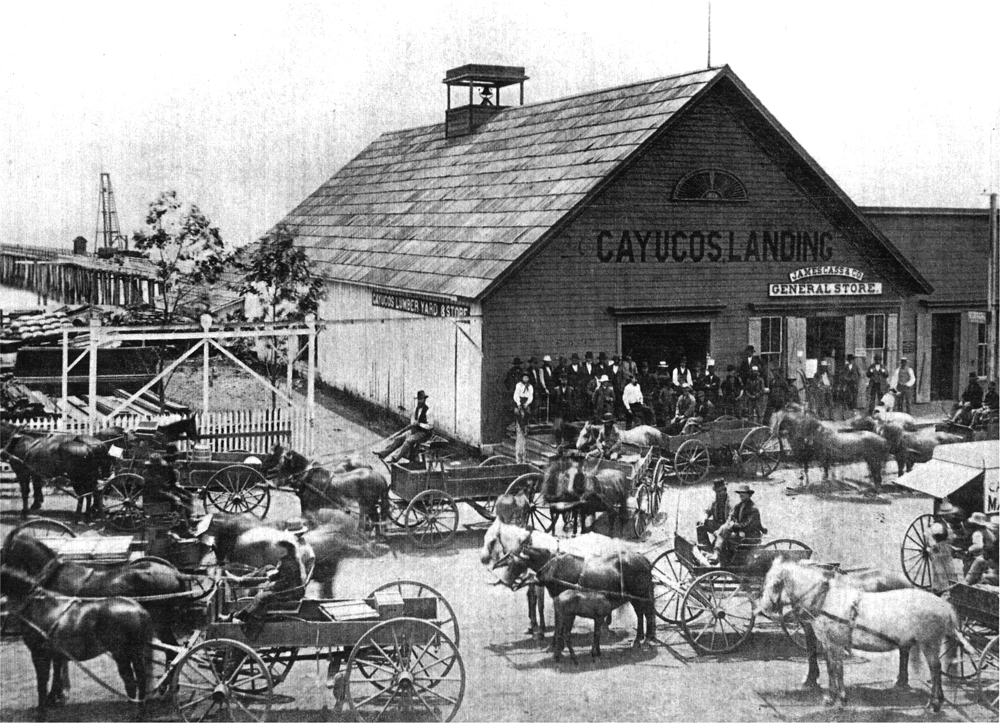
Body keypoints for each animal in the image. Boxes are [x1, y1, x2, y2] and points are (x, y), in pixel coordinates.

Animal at [0, 568, 153, 720]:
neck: (40, 607)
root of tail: (140, 610)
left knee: (135, 680)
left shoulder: (39, 654)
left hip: (123, 652)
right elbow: (56, 677)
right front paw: (53, 700)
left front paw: (41, 711)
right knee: (134, 680)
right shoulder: (55, 654)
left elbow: (42, 682)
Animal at [482, 520, 656, 660]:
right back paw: (636, 638)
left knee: (647, 613)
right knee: (641, 613)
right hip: (634, 596)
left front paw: (547, 638)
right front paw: (546, 639)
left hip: (639, 594)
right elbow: (543, 609)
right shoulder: (553, 595)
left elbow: (544, 609)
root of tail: (644, 559)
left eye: (492, 542)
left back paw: (645, 639)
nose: (506, 581)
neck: (553, 565)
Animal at [756, 556, 960, 708]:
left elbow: (835, 668)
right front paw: (832, 696)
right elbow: (831, 667)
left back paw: (933, 702)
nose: (763, 608)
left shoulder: (834, 642)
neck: (825, 599)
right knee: (923, 661)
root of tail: (944, 606)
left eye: (776, 584)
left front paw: (838, 697)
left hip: (929, 642)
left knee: (934, 667)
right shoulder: (828, 642)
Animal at [764, 404, 892, 490]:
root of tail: (884, 440)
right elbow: (809, 470)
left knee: (878, 475)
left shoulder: (816, 457)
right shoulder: (813, 457)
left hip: (874, 460)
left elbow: (818, 472)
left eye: (776, 418)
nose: (772, 431)